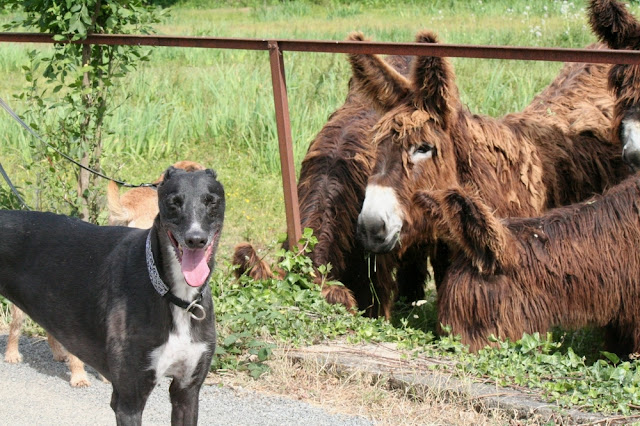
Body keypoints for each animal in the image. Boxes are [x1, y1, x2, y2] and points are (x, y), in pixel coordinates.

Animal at [0, 166, 225, 422]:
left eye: (211, 201)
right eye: (174, 202)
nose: (195, 240)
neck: (173, 295)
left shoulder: (187, 391)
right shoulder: (129, 400)